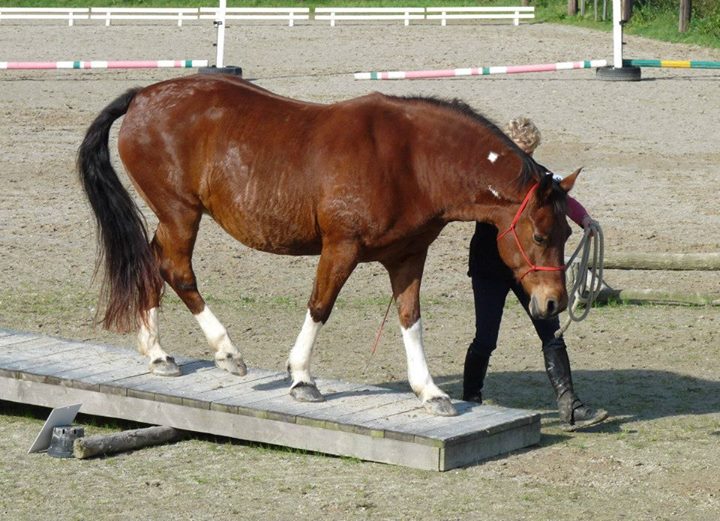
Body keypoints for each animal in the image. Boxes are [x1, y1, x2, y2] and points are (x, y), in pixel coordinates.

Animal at [77, 74, 580, 414]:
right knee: (177, 271)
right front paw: (301, 378)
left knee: (150, 264)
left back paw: (157, 353)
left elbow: (410, 319)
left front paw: (430, 391)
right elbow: (320, 306)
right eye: (539, 235)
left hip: (173, 218)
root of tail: (144, 95)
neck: (412, 160)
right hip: (181, 213)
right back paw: (226, 353)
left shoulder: (408, 257)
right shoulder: (341, 248)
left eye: (568, 233)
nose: (554, 302)